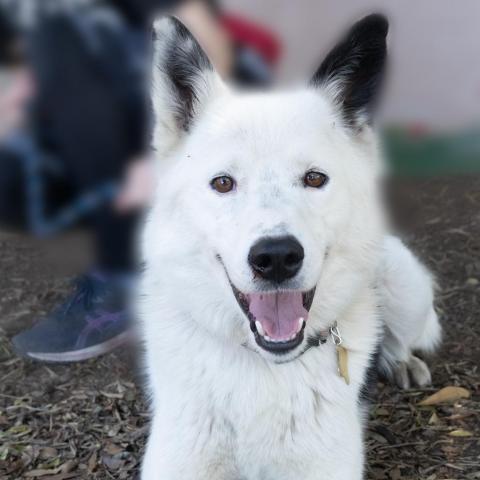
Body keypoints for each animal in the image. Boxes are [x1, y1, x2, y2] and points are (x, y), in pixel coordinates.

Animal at [137, 15, 440, 480]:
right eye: (222, 183)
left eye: (315, 178)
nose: (276, 258)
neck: (263, 366)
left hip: (402, 283)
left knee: (398, 335)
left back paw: (402, 359)